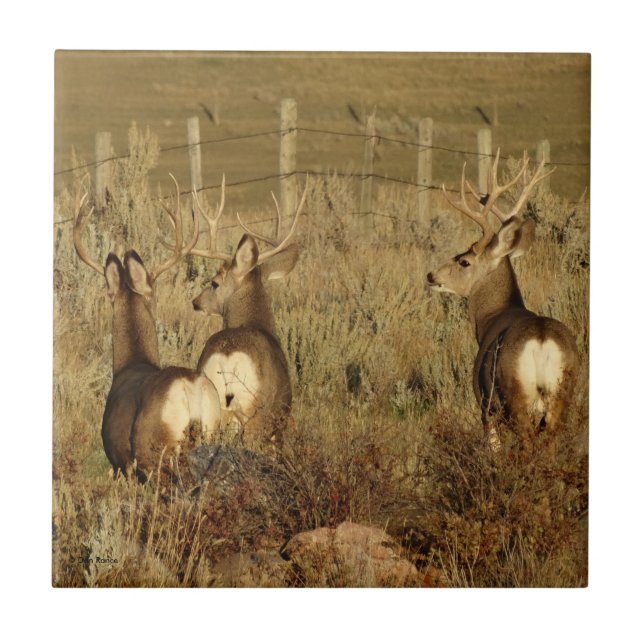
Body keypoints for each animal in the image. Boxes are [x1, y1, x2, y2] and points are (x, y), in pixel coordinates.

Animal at [190, 178, 308, 450]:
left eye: (214, 283)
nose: (196, 302)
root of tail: (227, 356)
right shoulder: (280, 415)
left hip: (211, 412)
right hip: (257, 410)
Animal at [426, 151, 579, 452]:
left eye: (464, 261)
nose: (431, 275)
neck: (492, 317)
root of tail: (542, 340)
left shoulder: (484, 403)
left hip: (515, 395)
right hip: (562, 397)